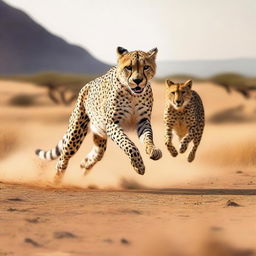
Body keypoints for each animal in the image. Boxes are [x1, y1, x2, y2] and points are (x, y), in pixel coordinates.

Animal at [35, 46, 162, 182]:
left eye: (146, 67)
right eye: (128, 67)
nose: (137, 80)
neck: (133, 94)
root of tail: (87, 84)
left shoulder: (142, 121)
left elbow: (148, 137)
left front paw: (153, 150)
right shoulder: (112, 123)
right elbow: (128, 144)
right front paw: (138, 165)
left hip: (100, 133)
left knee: (98, 153)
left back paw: (85, 162)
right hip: (76, 133)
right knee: (63, 158)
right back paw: (56, 180)